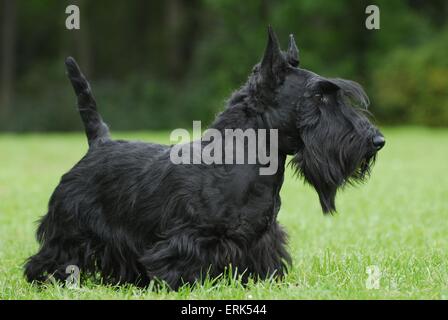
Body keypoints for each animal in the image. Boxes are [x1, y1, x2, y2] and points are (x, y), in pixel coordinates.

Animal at [23, 27, 384, 288]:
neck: (243, 160)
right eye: (319, 97)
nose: (377, 140)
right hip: (69, 231)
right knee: (48, 258)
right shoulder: (190, 240)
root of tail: (99, 142)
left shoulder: (261, 241)